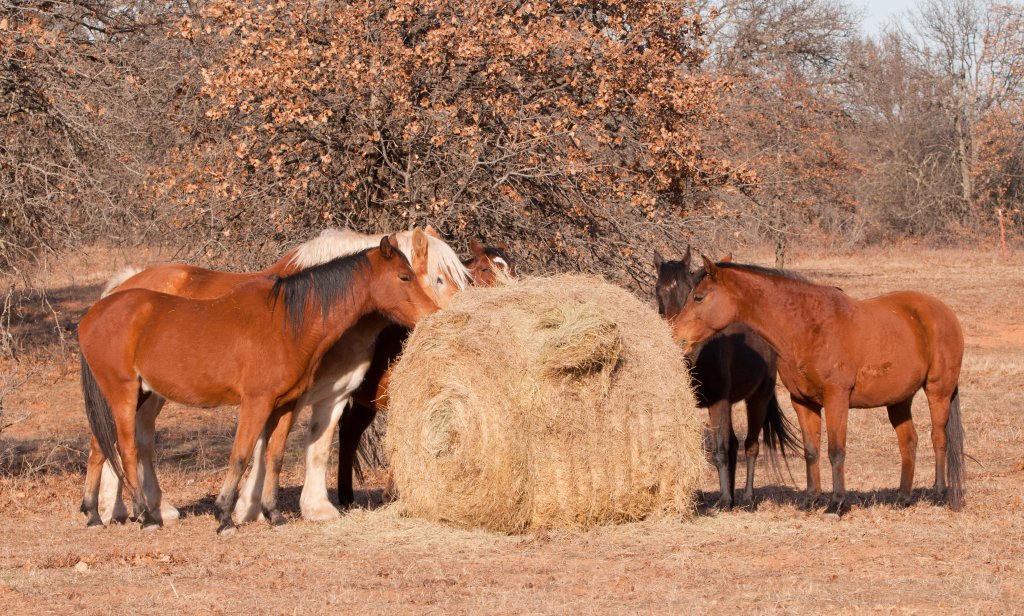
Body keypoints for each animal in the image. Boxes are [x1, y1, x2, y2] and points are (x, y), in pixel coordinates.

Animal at [95, 227, 471, 524]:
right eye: (438, 278)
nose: (453, 318)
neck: (312, 309)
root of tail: (123, 284)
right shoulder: (279, 395)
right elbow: (263, 448)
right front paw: (248, 507)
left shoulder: (333, 396)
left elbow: (317, 447)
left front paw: (316, 507)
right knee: (124, 439)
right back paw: (122, 509)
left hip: (150, 391)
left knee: (133, 438)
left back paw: (142, 508)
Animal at [335, 238, 517, 508]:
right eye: (486, 269)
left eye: (511, 267)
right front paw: (394, 492)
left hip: (363, 404)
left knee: (349, 436)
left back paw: (346, 497)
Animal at [654, 248, 798, 510]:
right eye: (658, 290)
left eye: (690, 291)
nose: (679, 343)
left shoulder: (717, 403)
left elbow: (719, 449)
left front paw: (722, 500)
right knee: (734, 444)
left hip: (757, 400)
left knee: (750, 446)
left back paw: (746, 498)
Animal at [672, 257, 966, 514]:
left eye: (698, 297)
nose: (676, 336)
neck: (808, 326)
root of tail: (943, 312)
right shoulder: (802, 402)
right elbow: (811, 451)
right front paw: (811, 500)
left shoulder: (836, 399)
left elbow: (836, 451)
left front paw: (836, 504)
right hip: (899, 400)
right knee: (909, 442)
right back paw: (903, 498)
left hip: (938, 391)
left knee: (938, 438)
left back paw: (939, 494)